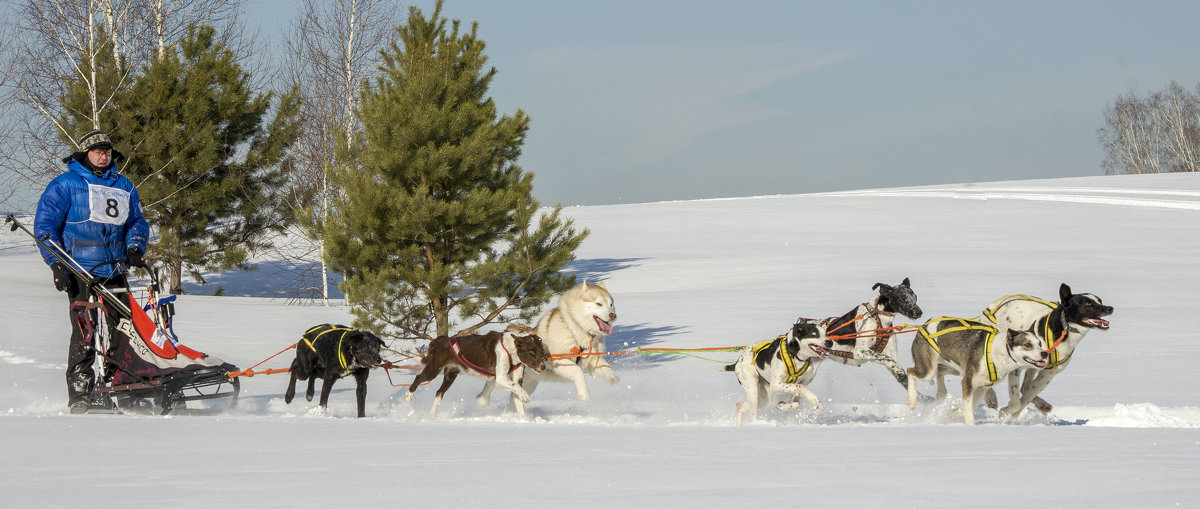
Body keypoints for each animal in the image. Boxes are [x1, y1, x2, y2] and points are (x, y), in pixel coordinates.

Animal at [408, 328, 549, 420]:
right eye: (531, 352)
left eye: (541, 352)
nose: (543, 366)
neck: (511, 349)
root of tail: (439, 340)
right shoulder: (500, 379)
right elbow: (517, 389)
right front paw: (525, 396)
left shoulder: (514, 379)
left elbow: (517, 394)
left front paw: (524, 419)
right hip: (434, 369)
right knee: (418, 378)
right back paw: (409, 396)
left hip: (450, 375)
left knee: (439, 392)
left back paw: (432, 414)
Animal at [907, 316, 1051, 424]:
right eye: (1027, 344)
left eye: (1039, 343)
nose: (1045, 353)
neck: (997, 353)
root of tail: (925, 324)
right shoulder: (967, 383)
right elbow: (968, 410)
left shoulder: (982, 387)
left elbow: (971, 406)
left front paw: (953, 415)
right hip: (928, 370)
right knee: (910, 371)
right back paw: (912, 400)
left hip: (956, 369)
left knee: (940, 372)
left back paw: (941, 392)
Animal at [979, 282, 1108, 417]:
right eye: (1087, 304)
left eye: (1100, 301)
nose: (1109, 308)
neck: (1062, 331)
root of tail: (992, 305)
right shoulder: (1017, 368)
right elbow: (1016, 402)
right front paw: (1006, 412)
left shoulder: (1048, 374)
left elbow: (1026, 397)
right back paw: (991, 398)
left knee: (1025, 387)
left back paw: (1042, 404)